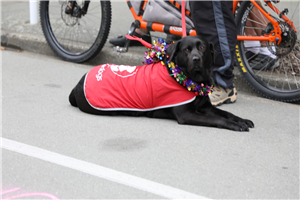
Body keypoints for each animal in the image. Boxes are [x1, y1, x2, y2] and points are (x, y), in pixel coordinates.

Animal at [69, 35, 253, 131]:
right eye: (186, 50)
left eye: (202, 48)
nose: (196, 59)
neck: (189, 79)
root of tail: (78, 83)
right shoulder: (187, 114)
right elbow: (216, 119)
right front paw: (234, 125)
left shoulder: (206, 106)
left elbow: (226, 113)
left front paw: (242, 120)